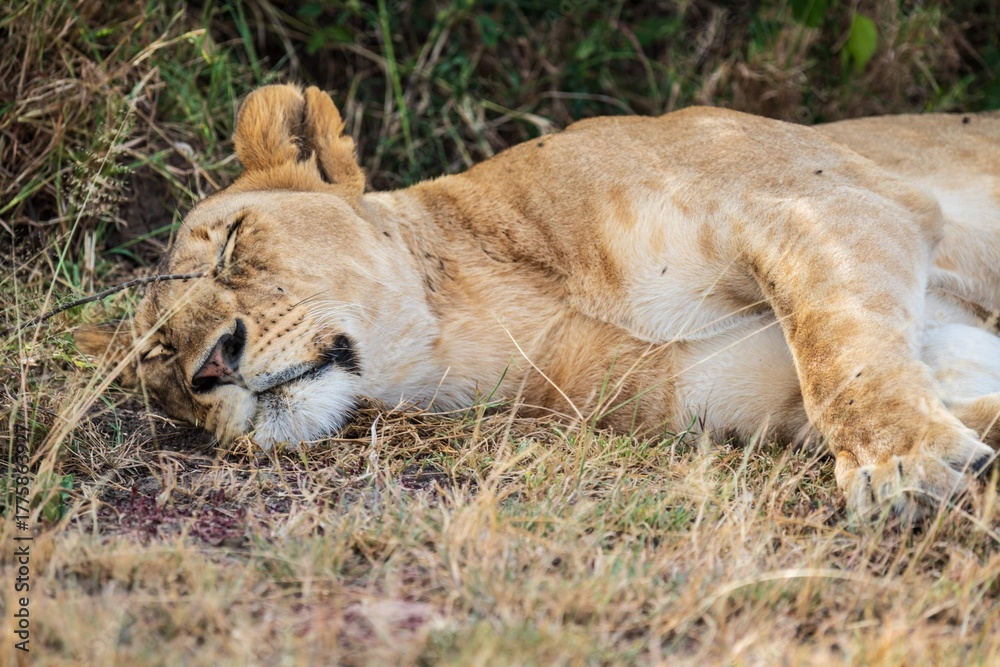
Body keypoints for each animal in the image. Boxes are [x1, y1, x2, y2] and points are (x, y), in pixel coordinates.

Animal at [77, 84, 1000, 516]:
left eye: (233, 241)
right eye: (158, 357)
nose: (209, 365)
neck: (486, 322)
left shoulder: (823, 201)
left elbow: (842, 352)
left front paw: (903, 464)